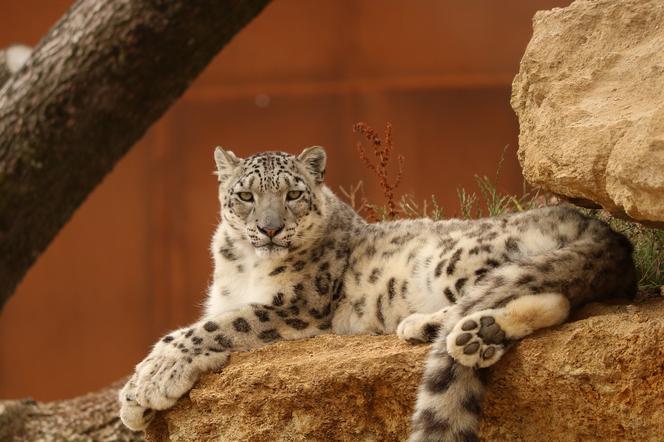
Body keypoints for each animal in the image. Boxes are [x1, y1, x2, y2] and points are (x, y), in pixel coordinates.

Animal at [116, 147, 636, 440]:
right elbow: (209, 322)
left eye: (293, 194)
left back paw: (431, 325)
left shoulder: (297, 306)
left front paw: (144, 386)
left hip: (459, 259)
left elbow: (207, 329)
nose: (269, 229)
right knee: (560, 298)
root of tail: (598, 225)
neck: (242, 264)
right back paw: (480, 336)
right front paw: (138, 403)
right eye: (245, 196)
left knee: (514, 288)